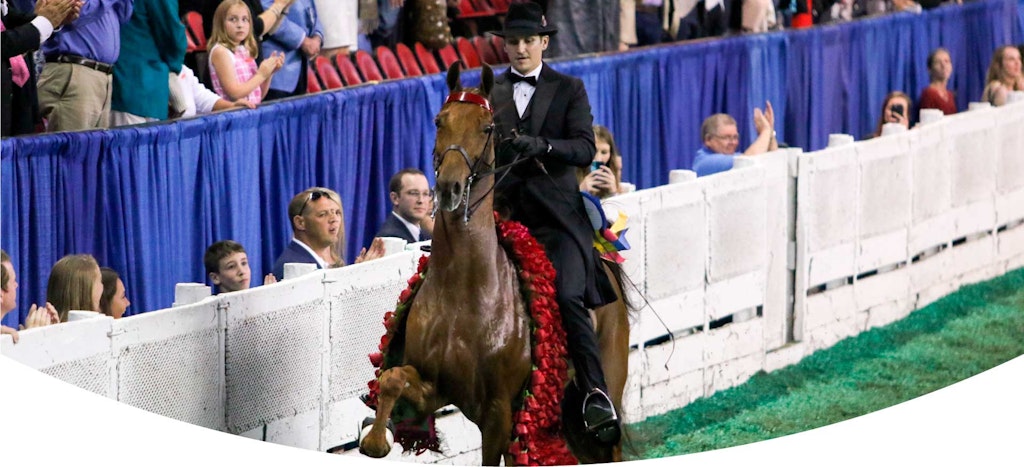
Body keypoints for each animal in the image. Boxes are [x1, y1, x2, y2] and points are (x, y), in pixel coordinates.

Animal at [358, 63, 631, 465]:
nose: (450, 188)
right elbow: (393, 379)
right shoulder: (436, 387)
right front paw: (376, 438)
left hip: (603, 387)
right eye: (439, 121)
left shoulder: (498, 412)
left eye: (486, 127)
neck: (464, 287)